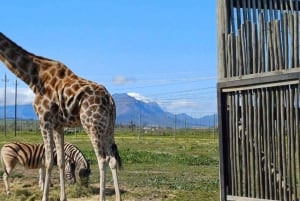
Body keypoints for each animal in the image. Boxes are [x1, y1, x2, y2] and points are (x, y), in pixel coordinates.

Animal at [0, 33, 122, 201]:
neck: (34, 76)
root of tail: (110, 100)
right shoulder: (59, 125)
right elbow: (61, 162)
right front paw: (63, 197)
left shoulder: (44, 119)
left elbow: (48, 161)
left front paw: (44, 197)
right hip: (109, 127)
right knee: (112, 160)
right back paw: (118, 198)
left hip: (92, 125)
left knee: (102, 160)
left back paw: (101, 198)